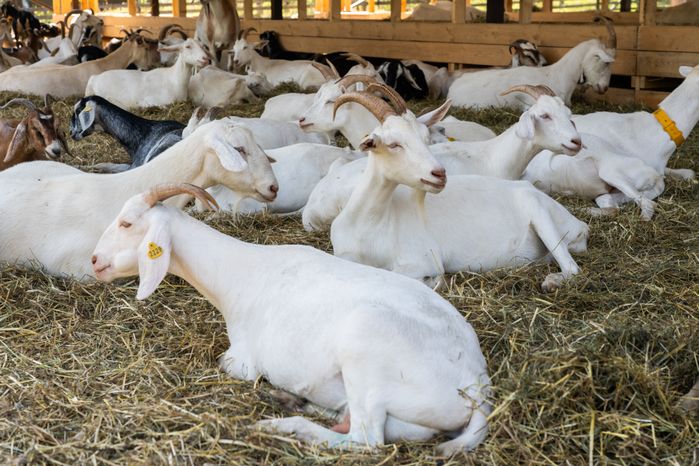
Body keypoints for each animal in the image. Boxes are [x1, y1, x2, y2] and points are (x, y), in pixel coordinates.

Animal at [91, 182, 491, 456]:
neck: (238, 274)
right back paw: (295, 403)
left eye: (127, 223)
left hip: (365, 347)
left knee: (367, 439)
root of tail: (476, 383)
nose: (95, 260)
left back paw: (284, 425)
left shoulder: (242, 361)